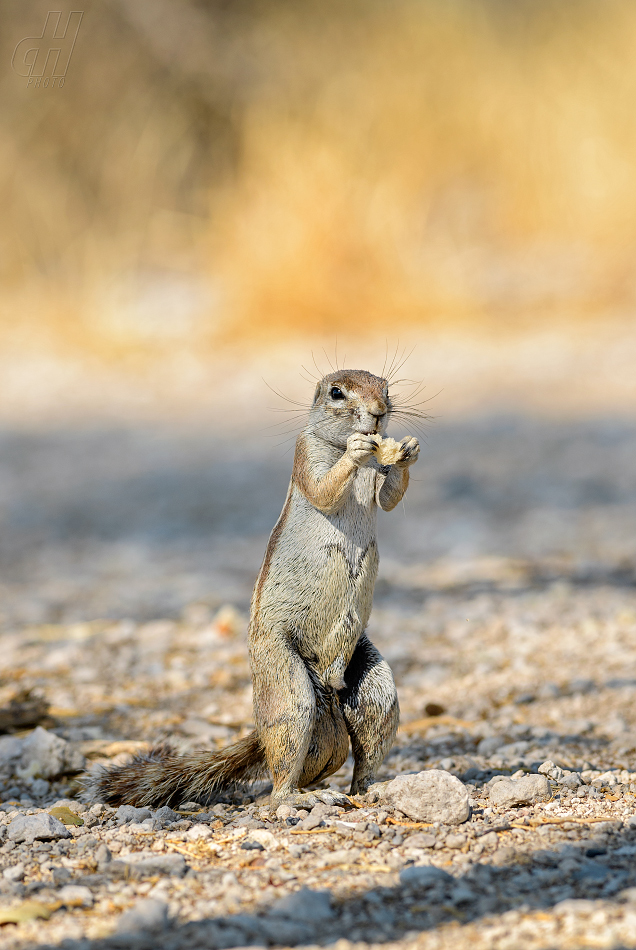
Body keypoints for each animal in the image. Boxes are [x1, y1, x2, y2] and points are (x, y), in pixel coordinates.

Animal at [85, 368, 422, 808]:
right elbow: (323, 489)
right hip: (287, 685)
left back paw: (366, 790)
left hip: (372, 687)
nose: (380, 412)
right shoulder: (305, 457)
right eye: (336, 392)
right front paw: (356, 449)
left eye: (385, 386)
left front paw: (408, 450)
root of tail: (327, 685)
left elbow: (388, 498)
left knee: (361, 744)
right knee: (284, 765)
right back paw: (292, 799)